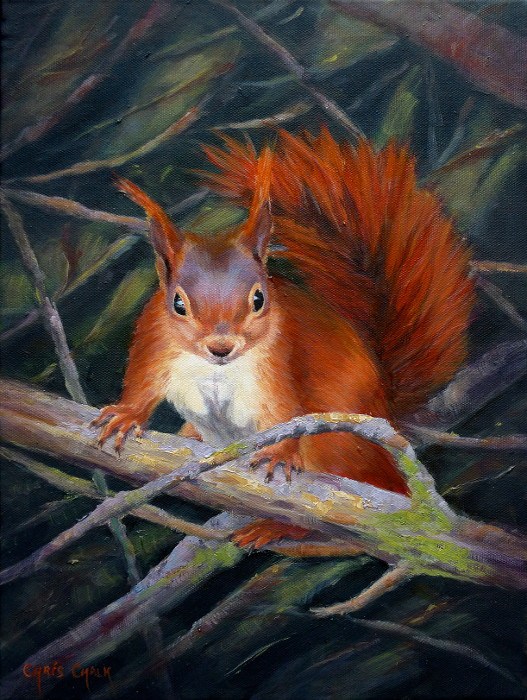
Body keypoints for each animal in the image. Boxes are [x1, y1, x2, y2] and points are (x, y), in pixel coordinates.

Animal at [93, 127, 474, 549]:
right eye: (177, 303)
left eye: (259, 298)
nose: (221, 348)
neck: (215, 368)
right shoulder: (152, 339)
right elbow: (142, 384)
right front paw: (127, 415)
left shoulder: (280, 361)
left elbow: (283, 410)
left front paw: (280, 452)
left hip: (336, 446)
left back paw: (276, 526)